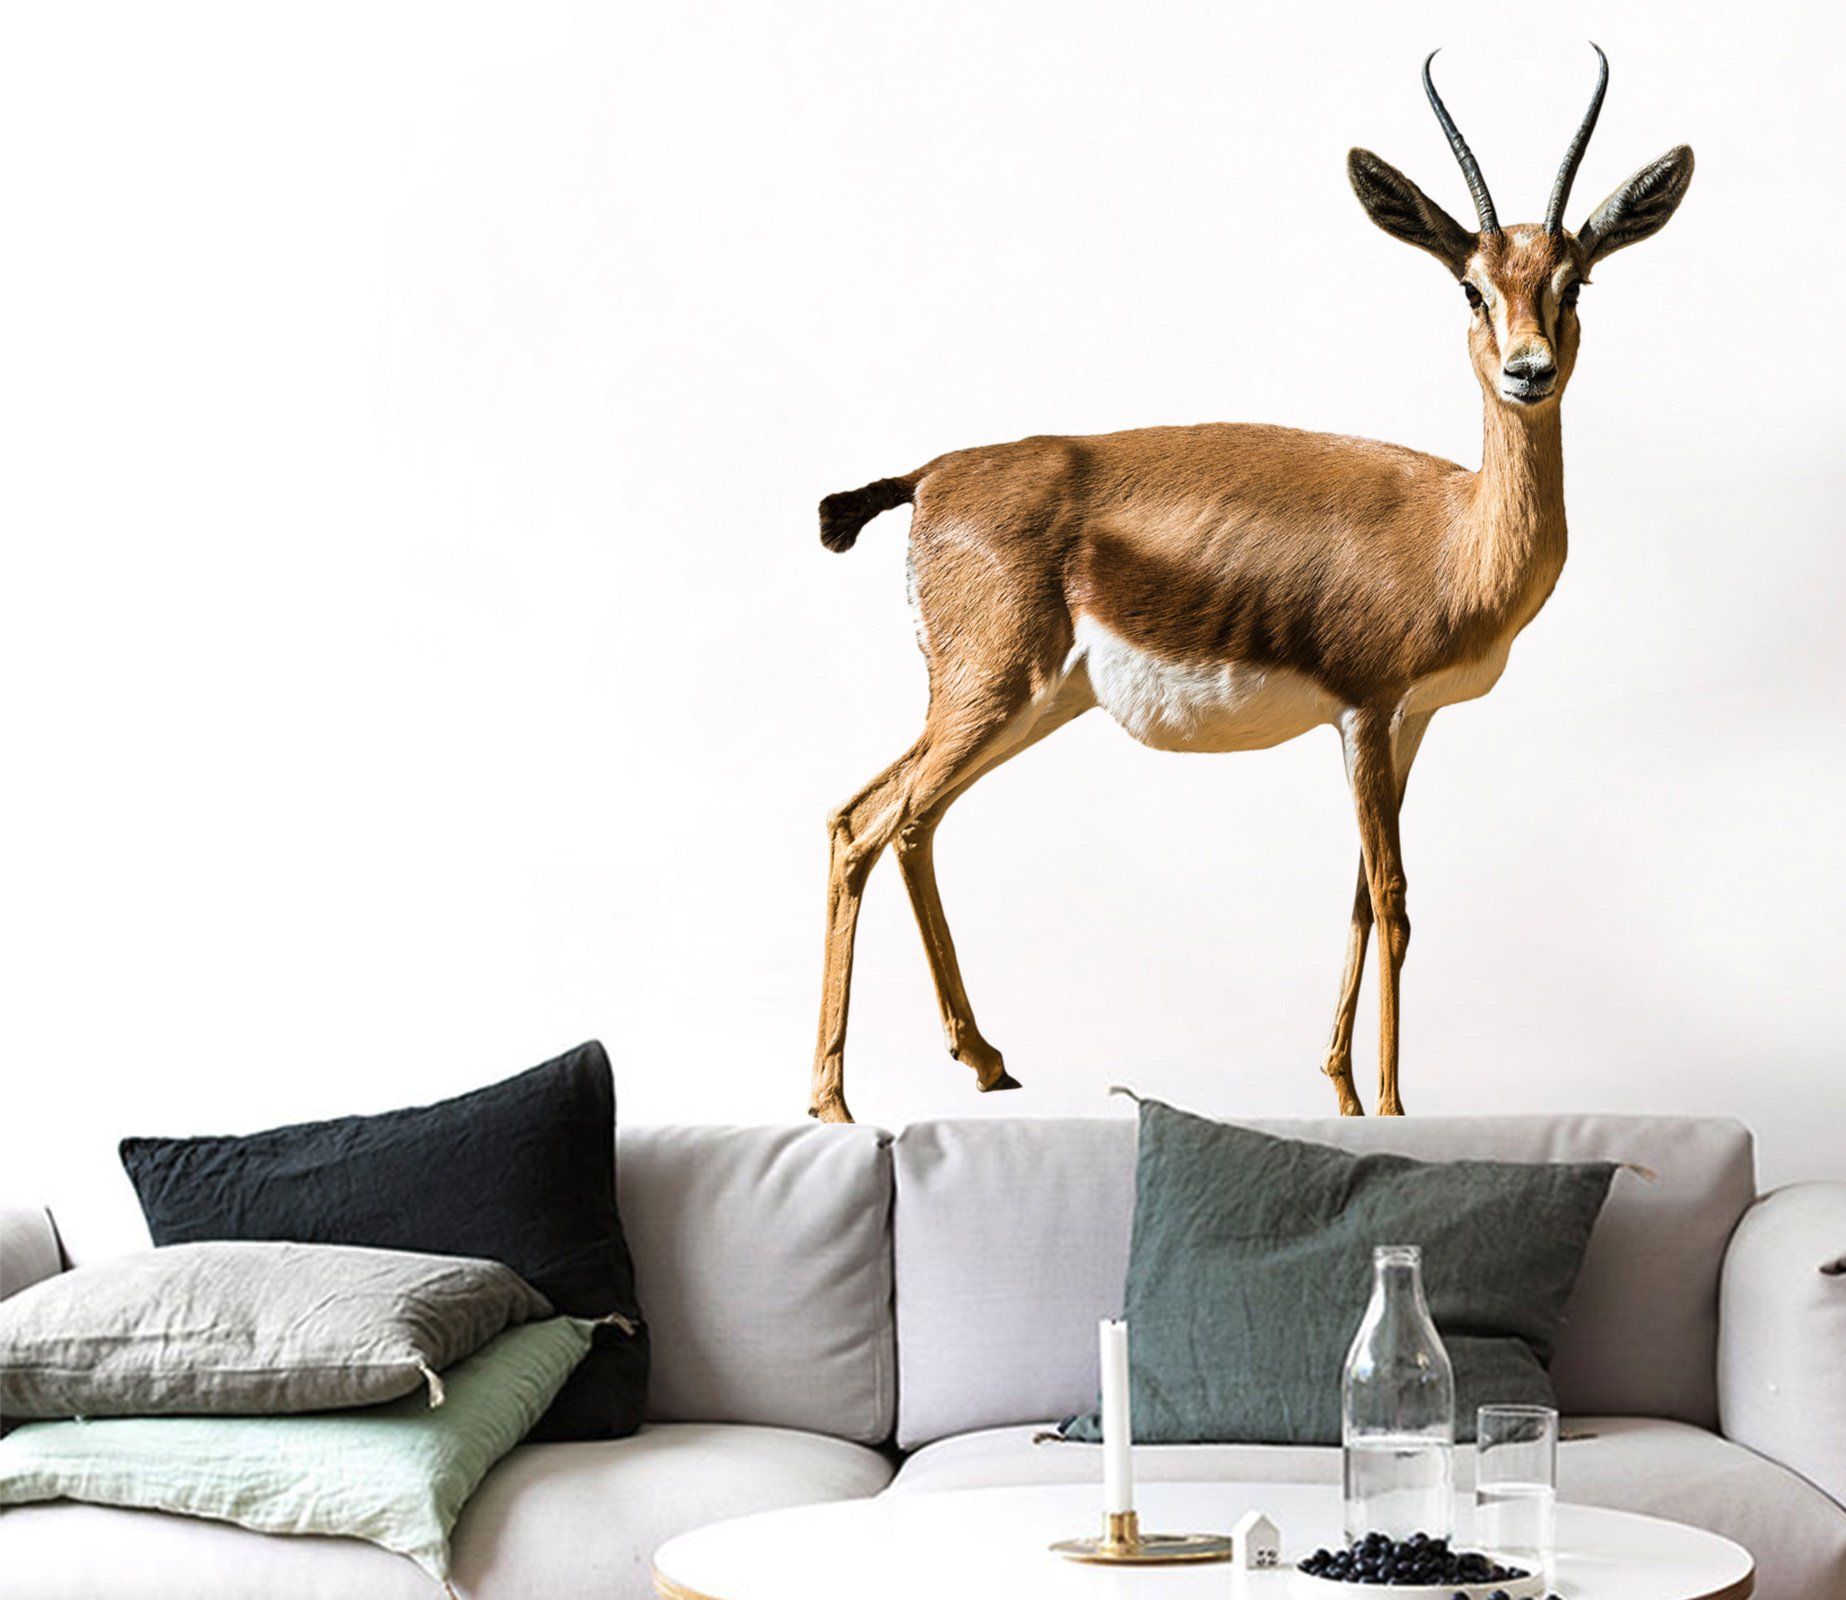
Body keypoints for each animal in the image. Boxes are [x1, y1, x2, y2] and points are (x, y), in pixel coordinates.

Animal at [810, 48, 1692, 1124]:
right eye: (1471, 289)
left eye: (1575, 282)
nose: (1529, 372)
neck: (1457, 534)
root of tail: (931, 474)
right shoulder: (1367, 711)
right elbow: (1395, 899)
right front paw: (1394, 1109)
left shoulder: (1405, 723)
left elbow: (1359, 896)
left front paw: (1343, 1092)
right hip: (988, 693)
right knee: (863, 827)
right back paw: (834, 1104)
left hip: (1030, 703)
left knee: (896, 822)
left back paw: (984, 1062)